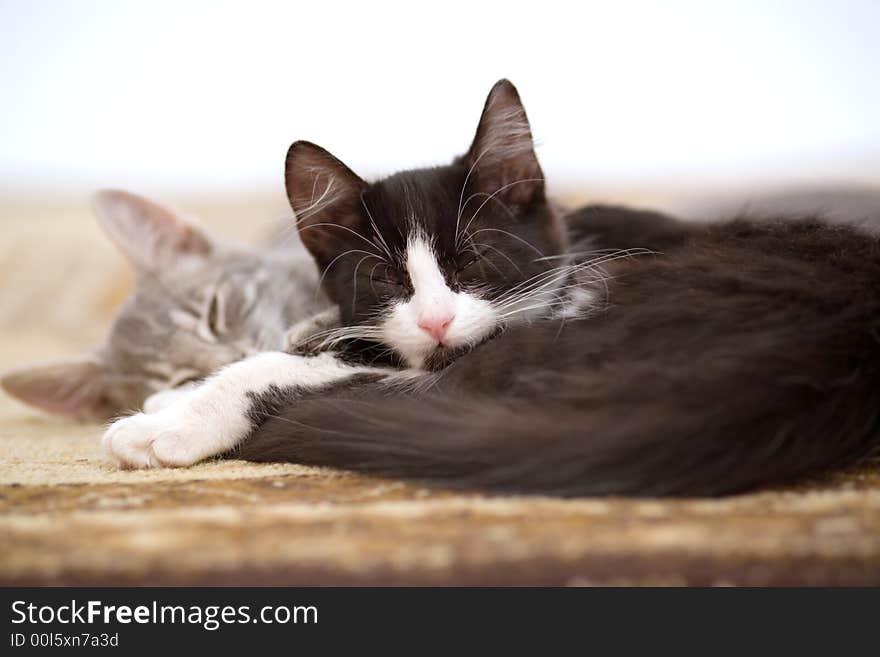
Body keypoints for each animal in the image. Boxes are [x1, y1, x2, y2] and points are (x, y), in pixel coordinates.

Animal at [101, 79, 880, 494]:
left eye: (473, 258)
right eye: (383, 276)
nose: (437, 320)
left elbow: (296, 368)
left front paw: (168, 421)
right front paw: (172, 395)